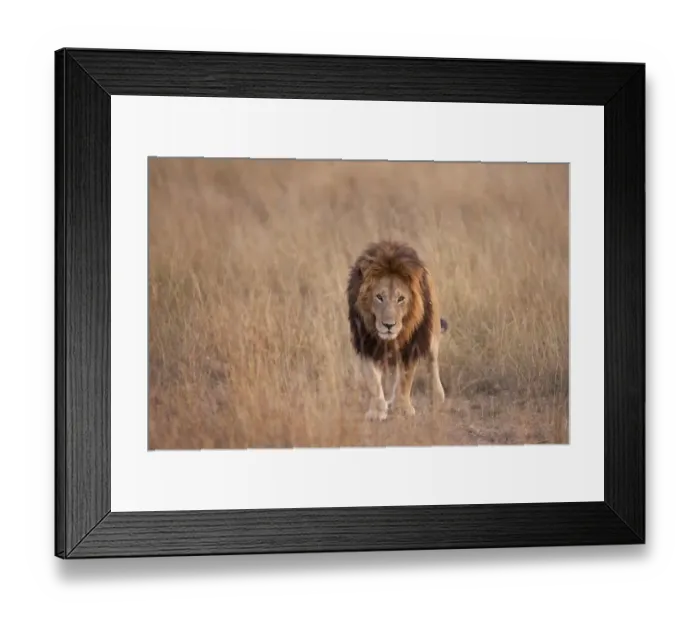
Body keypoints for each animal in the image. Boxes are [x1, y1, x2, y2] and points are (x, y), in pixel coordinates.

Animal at [346, 240, 448, 421]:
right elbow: (372, 380)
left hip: (432, 332)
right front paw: (377, 411)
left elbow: (406, 378)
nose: (389, 325)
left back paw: (437, 395)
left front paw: (402, 408)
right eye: (379, 297)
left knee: (432, 361)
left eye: (401, 299)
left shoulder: (413, 345)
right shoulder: (366, 344)